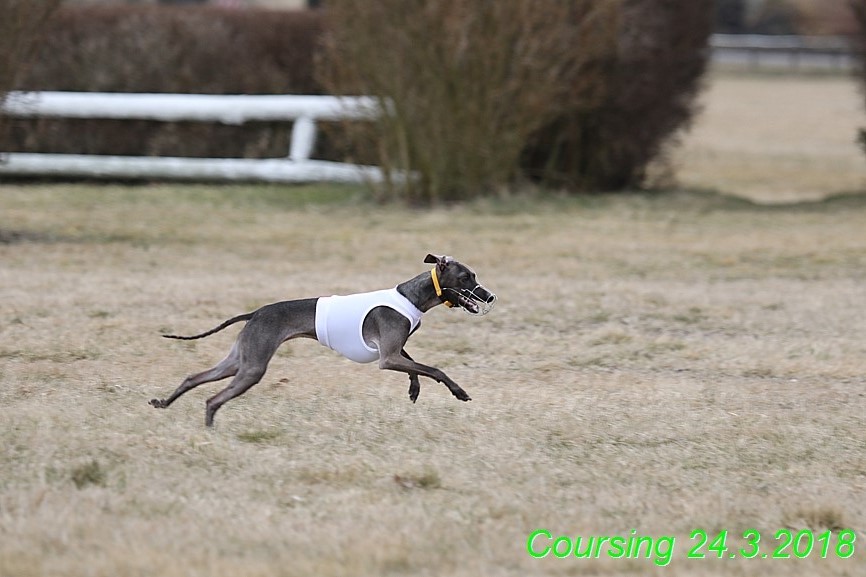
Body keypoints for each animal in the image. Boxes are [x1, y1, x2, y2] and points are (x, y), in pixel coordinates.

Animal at [150, 254, 492, 426]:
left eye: (475, 275)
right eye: (466, 277)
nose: (489, 296)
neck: (413, 295)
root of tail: (256, 313)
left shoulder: (395, 350)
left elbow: (415, 366)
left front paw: (413, 390)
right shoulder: (388, 357)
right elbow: (434, 368)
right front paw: (459, 392)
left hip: (239, 360)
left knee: (194, 377)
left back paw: (163, 403)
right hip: (253, 367)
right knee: (213, 398)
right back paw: (209, 426)